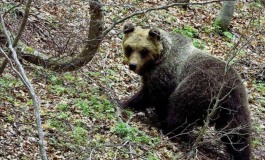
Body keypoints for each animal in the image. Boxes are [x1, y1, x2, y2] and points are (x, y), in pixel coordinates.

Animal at [120, 22, 251, 160]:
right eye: (129, 48)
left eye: (144, 50)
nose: (133, 65)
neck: (158, 60)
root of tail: (226, 89)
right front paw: (126, 103)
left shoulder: (165, 75)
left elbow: (154, 96)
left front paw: (128, 103)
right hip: (235, 104)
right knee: (237, 131)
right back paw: (242, 153)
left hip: (198, 86)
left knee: (180, 107)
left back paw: (169, 129)